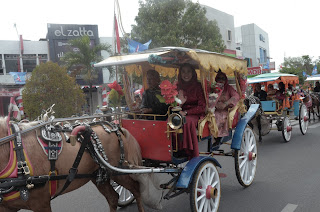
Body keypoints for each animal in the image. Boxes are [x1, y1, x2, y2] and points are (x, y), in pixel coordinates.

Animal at [0, 117, 160, 212]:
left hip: (118, 171)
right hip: (99, 175)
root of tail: (115, 127)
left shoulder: (41, 203)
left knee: (136, 189)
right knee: (113, 197)